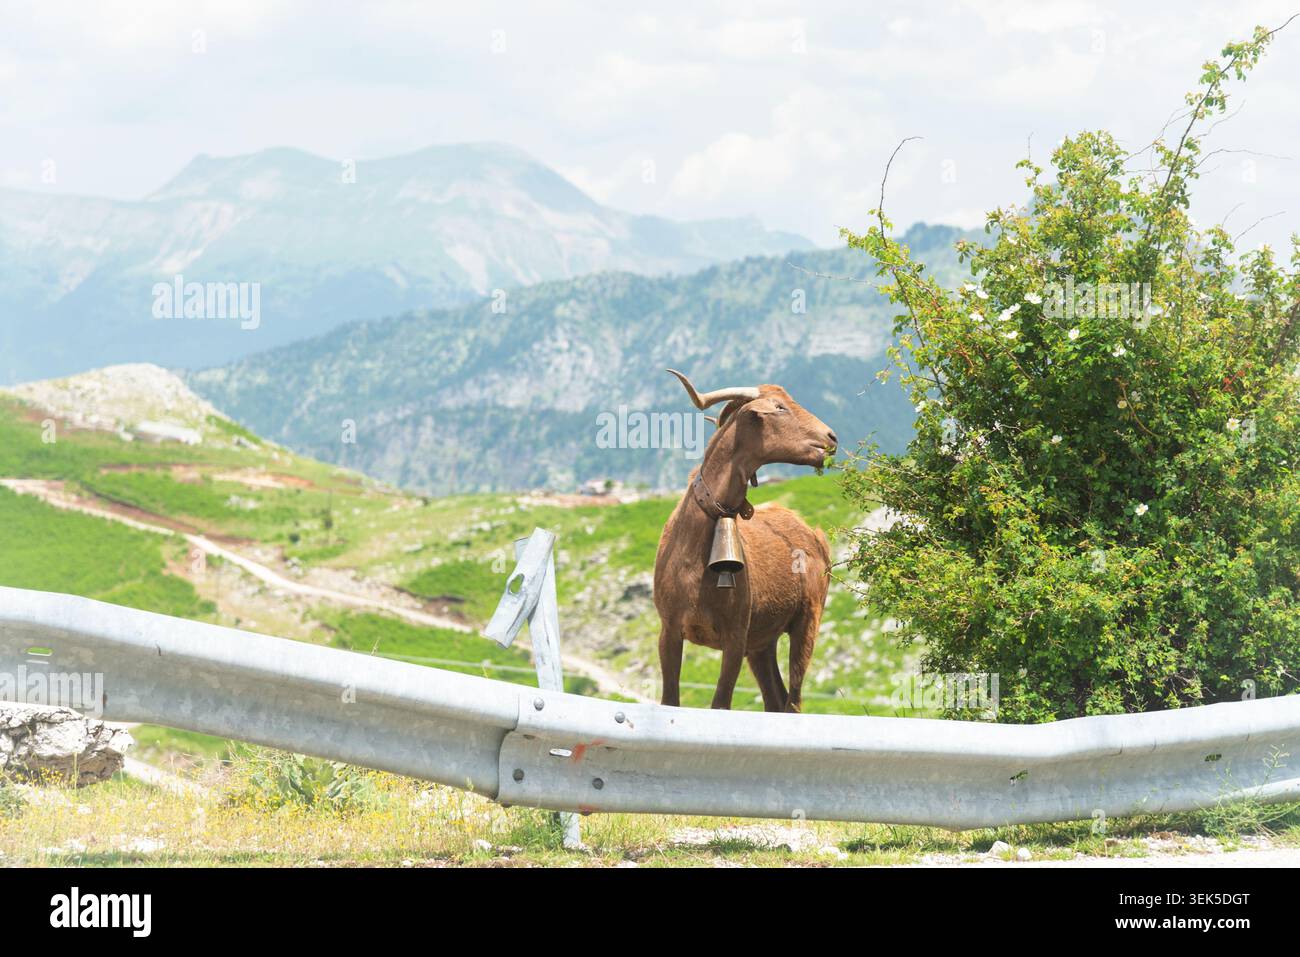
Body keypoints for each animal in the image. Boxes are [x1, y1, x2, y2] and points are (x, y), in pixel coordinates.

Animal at [653, 369, 837, 712]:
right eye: (779, 407)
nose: (831, 438)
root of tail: (813, 534)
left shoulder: (736, 637)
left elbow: (720, 704)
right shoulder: (669, 630)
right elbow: (670, 700)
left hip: (807, 621)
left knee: (793, 701)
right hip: (763, 643)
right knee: (776, 699)